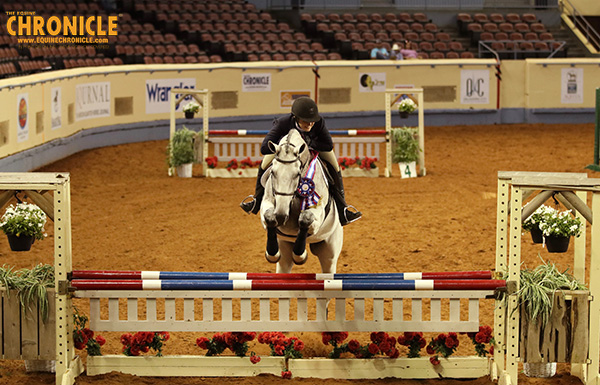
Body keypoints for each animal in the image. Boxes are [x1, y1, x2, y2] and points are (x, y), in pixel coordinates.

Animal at [262, 129, 342, 272]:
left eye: (297, 174)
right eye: (273, 172)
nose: (281, 216)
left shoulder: (318, 213)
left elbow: (305, 219)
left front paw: (300, 255)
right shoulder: (266, 204)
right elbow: (269, 217)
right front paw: (272, 253)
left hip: (330, 252)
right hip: (285, 250)